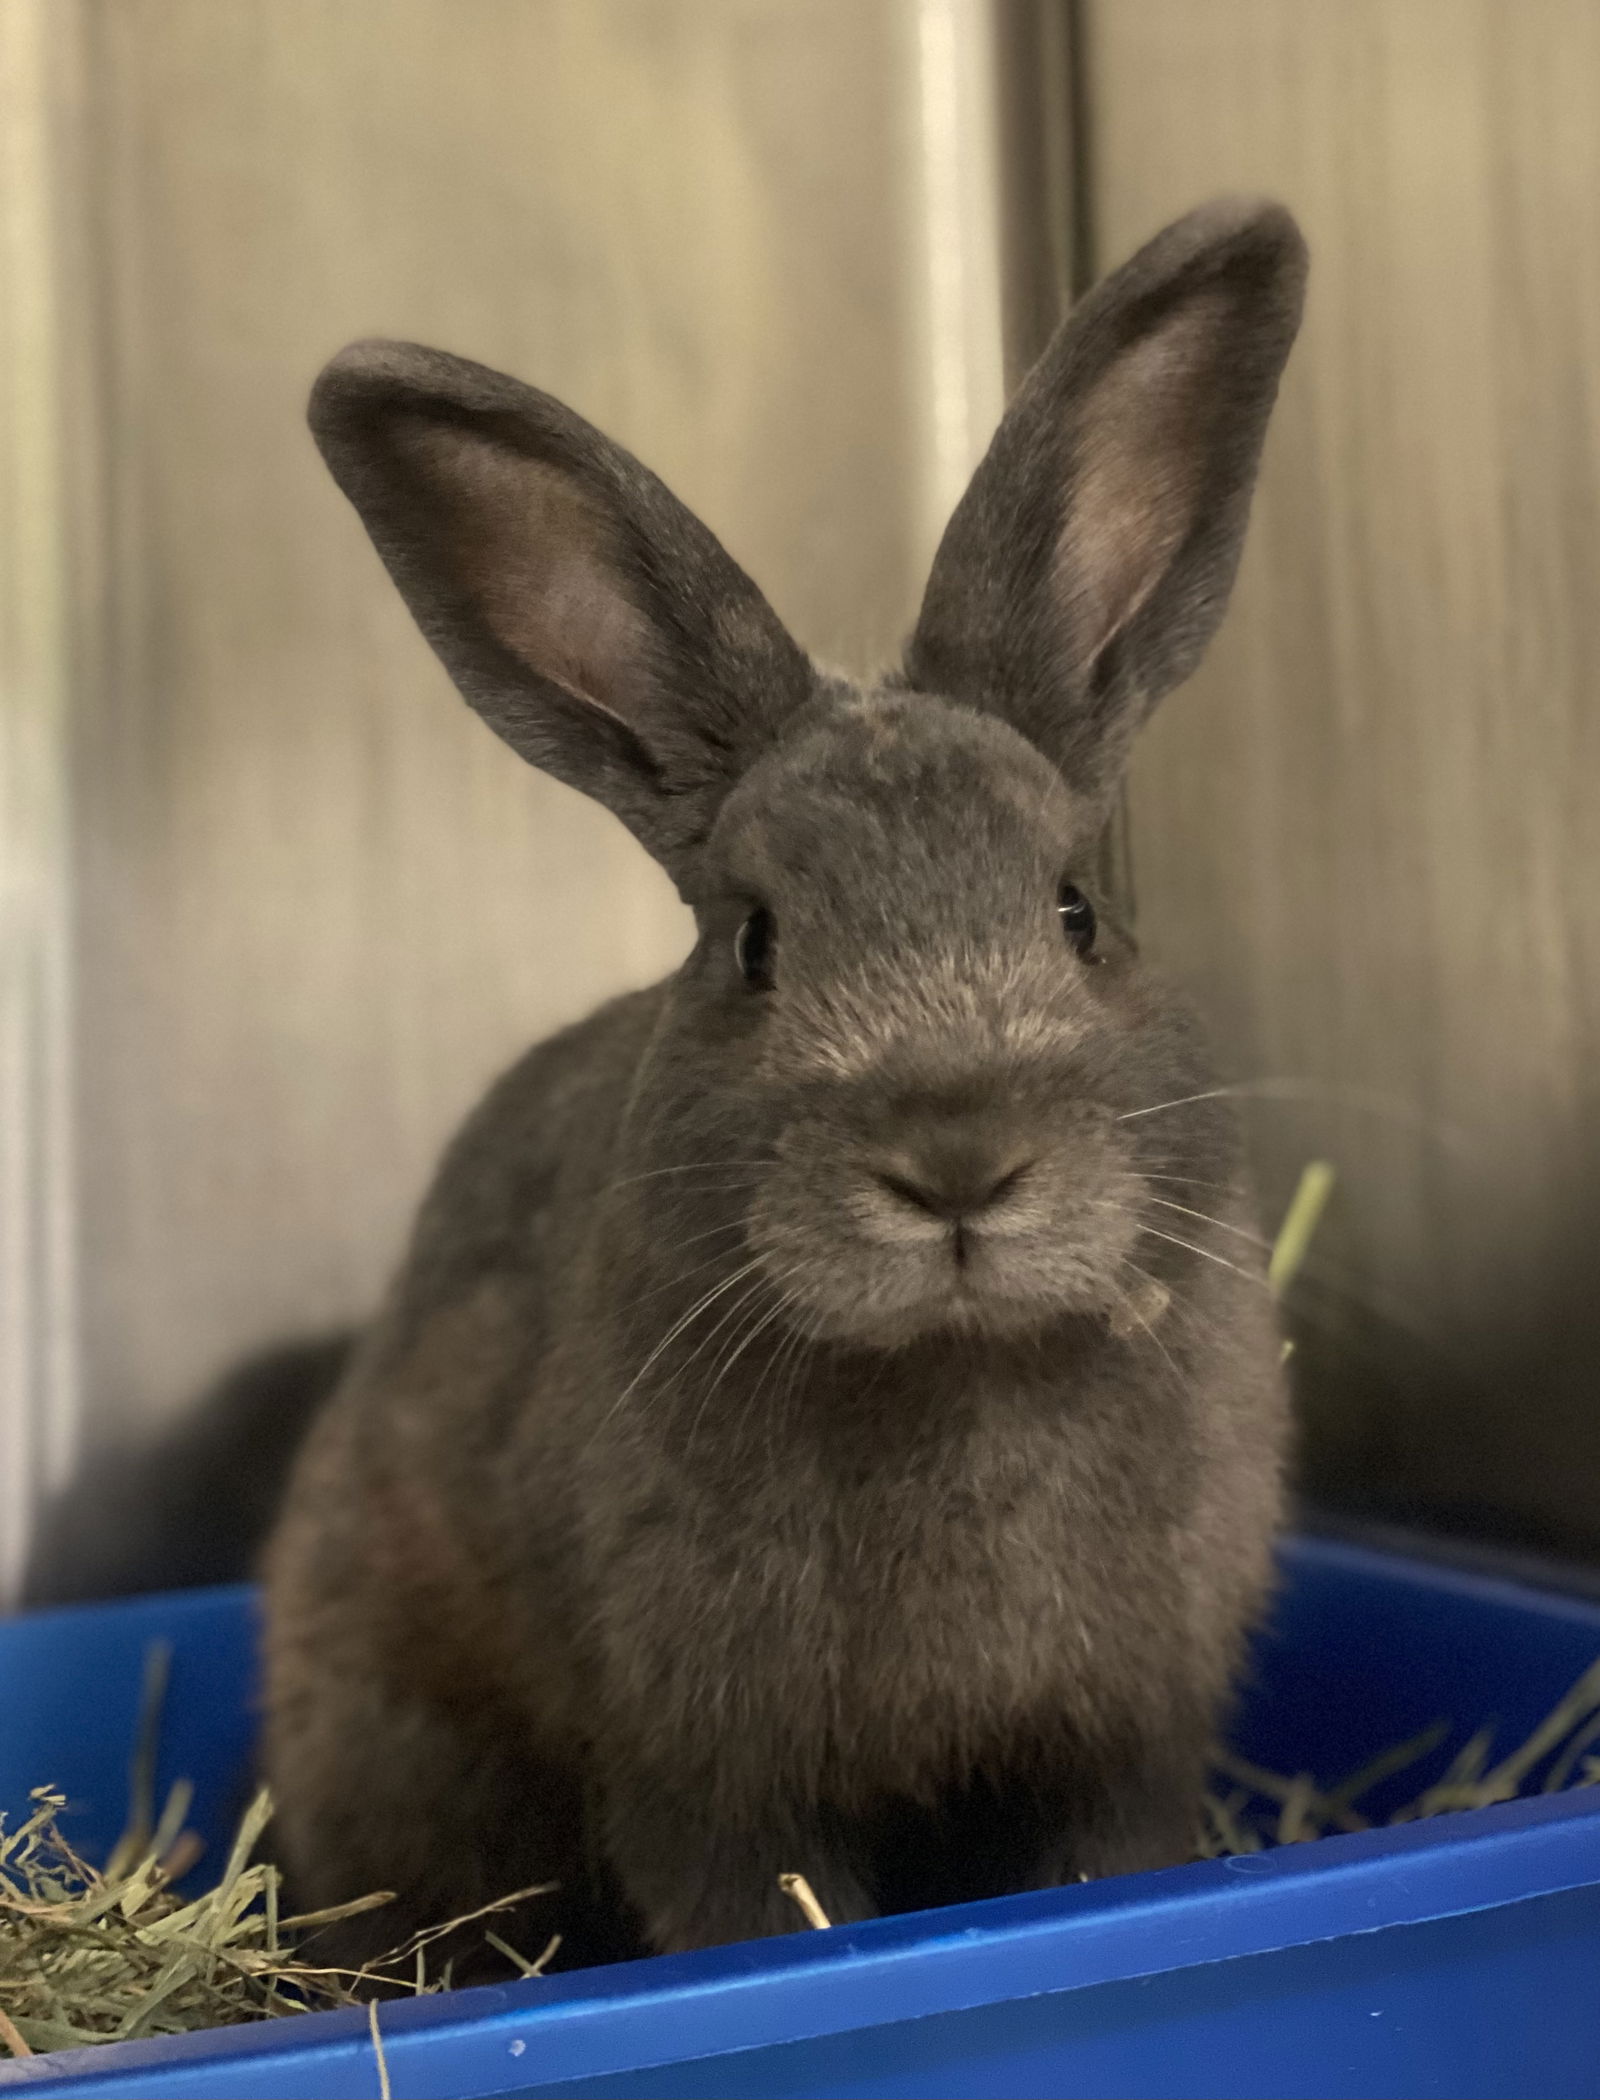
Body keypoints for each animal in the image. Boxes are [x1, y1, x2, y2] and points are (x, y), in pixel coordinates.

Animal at [261, 197, 1301, 1965]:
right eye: (752, 943)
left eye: (1078, 911)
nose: (957, 1165)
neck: (957, 1370)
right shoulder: (709, 1778)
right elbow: (751, 1902)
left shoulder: (1119, 1740)